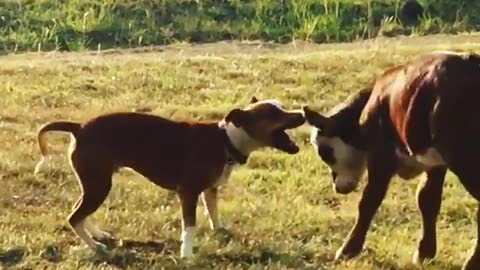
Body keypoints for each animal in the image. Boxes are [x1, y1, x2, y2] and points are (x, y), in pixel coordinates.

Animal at [34, 97, 304, 258]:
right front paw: (187, 254)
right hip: (99, 184)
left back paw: (98, 235)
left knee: (79, 212)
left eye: (281, 106)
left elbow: (214, 213)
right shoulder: (188, 193)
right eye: (273, 112)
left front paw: (219, 232)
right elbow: (190, 226)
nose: (302, 112)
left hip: (96, 183)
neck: (227, 140)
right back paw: (96, 246)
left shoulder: (210, 190)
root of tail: (78, 127)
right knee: (74, 216)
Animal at [304, 51, 480, 270]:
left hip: (467, 163)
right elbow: (427, 199)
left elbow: (369, 201)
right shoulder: (435, 163)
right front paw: (424, 253)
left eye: (324, 151)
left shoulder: (381, 154)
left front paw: (347, 250)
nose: (337, 186)